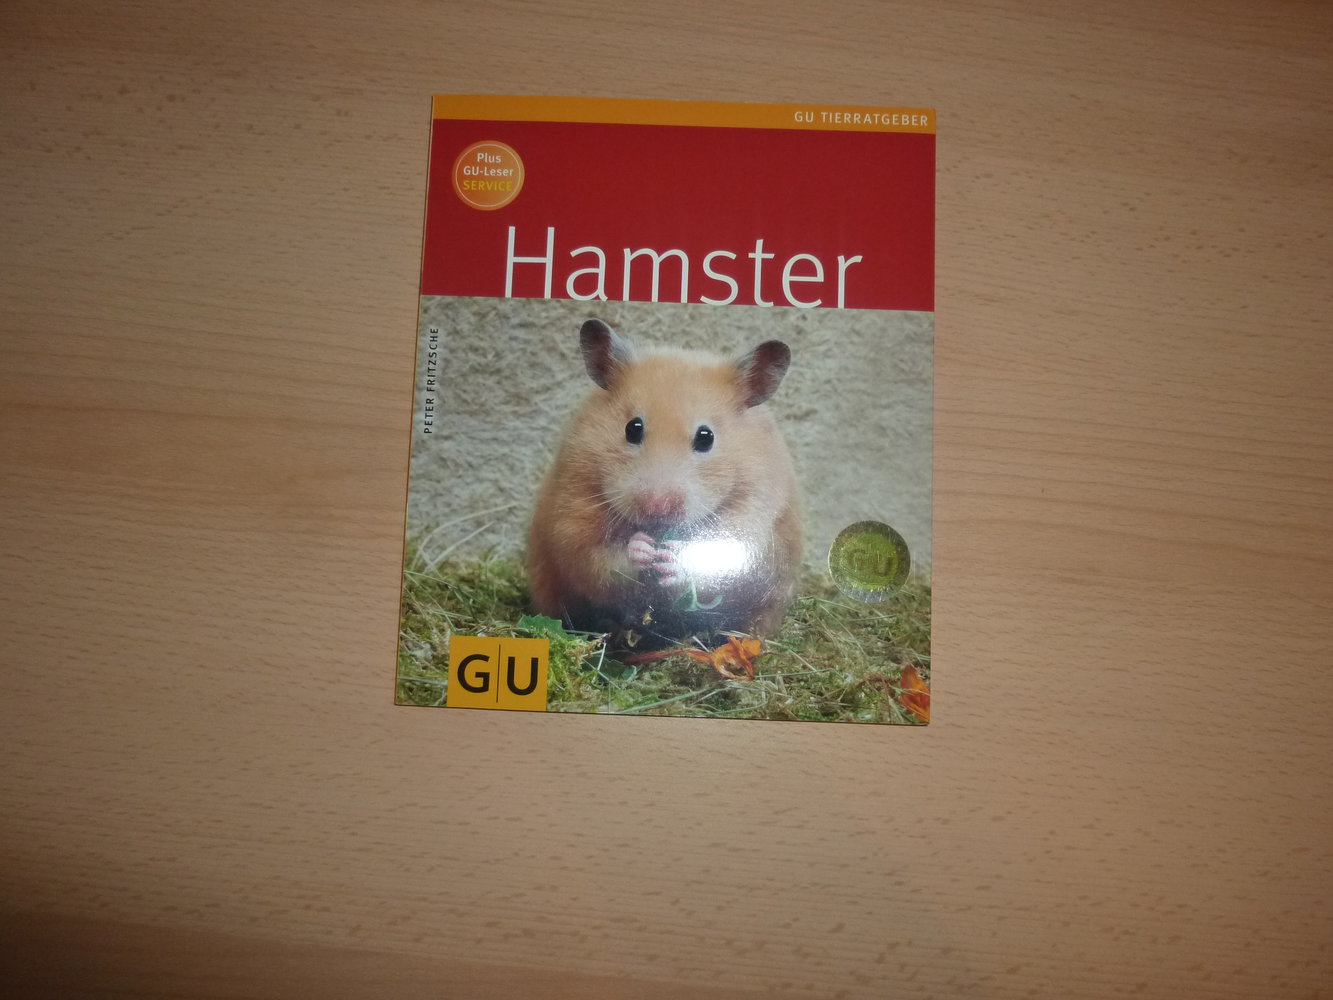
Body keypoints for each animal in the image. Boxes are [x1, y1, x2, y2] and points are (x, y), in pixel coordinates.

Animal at [527, 318, 801, 649]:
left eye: (706, 437)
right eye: (633, 428)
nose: (657, 507)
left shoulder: (753, 513)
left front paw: (673, 557)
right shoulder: (574, 510)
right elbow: (600, 560)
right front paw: (642, 548)